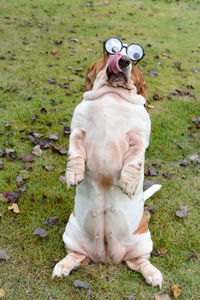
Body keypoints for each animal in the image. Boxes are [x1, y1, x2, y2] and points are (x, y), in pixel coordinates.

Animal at [52, 38, 163, 288]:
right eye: (111, 49)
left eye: (135, 57)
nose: (123, 60)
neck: (113, 95)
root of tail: (106, 255)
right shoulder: (77, 131)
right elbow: (74, 152)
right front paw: (73, 175)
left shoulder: (139, 139)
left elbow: (134, 160)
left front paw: (129, 184)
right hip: (71, 235)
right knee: (76, 256)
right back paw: (62, 267)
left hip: (144, 242)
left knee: (140, 262)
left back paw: (154, 275)